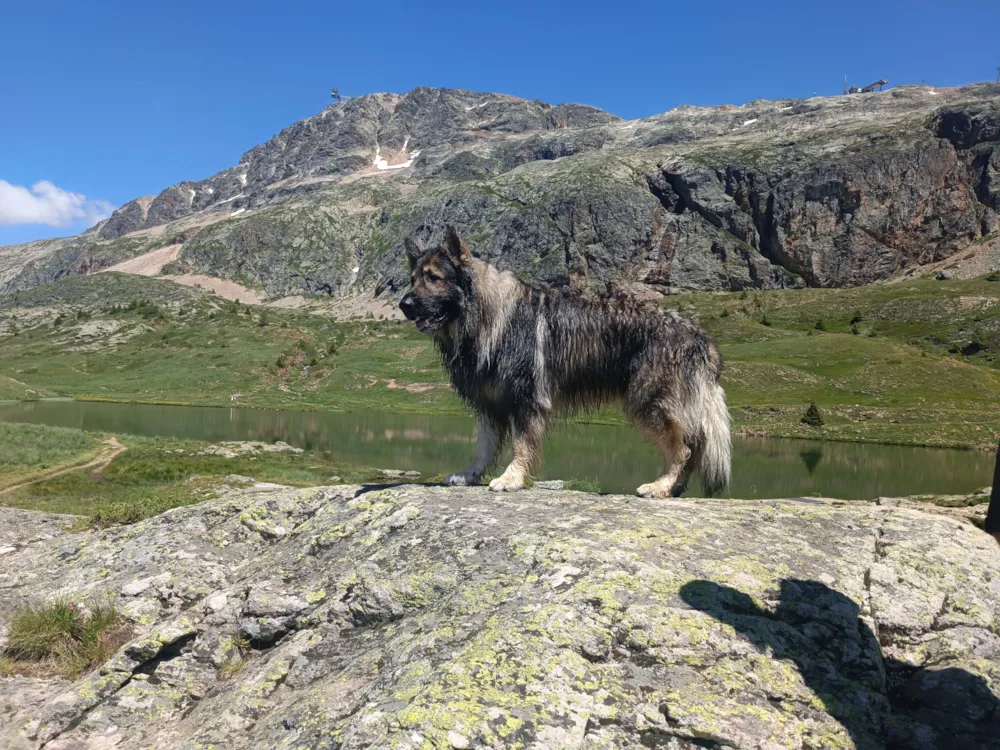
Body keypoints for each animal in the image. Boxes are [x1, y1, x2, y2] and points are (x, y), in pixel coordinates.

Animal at [398, 229, 736, 500]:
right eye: (413, 279)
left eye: (433, 277)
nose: (404, 305)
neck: (488, 318)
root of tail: (700, 335)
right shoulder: (489, 404)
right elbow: (484, 446)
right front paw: (470, 475)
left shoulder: (526, 401)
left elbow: (521, 445)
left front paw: (511, 478)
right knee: (694, 448)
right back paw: (673, 488)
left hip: (650, 404)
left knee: (683, 449)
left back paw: (660, 486)